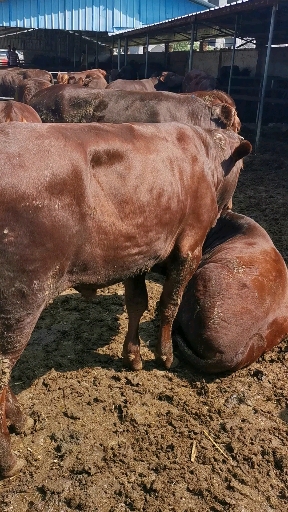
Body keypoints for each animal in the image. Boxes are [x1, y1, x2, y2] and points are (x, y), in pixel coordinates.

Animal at [0, 122, 251, 478]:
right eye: (240, 169)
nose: (228, 210)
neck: (203, 153)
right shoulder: (190, 248)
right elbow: (169, 305)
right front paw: (165, 355)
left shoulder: (136, 252)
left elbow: (137, 304)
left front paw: (132, 355)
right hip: (20, 302)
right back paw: (8, 459)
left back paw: (20, 419)